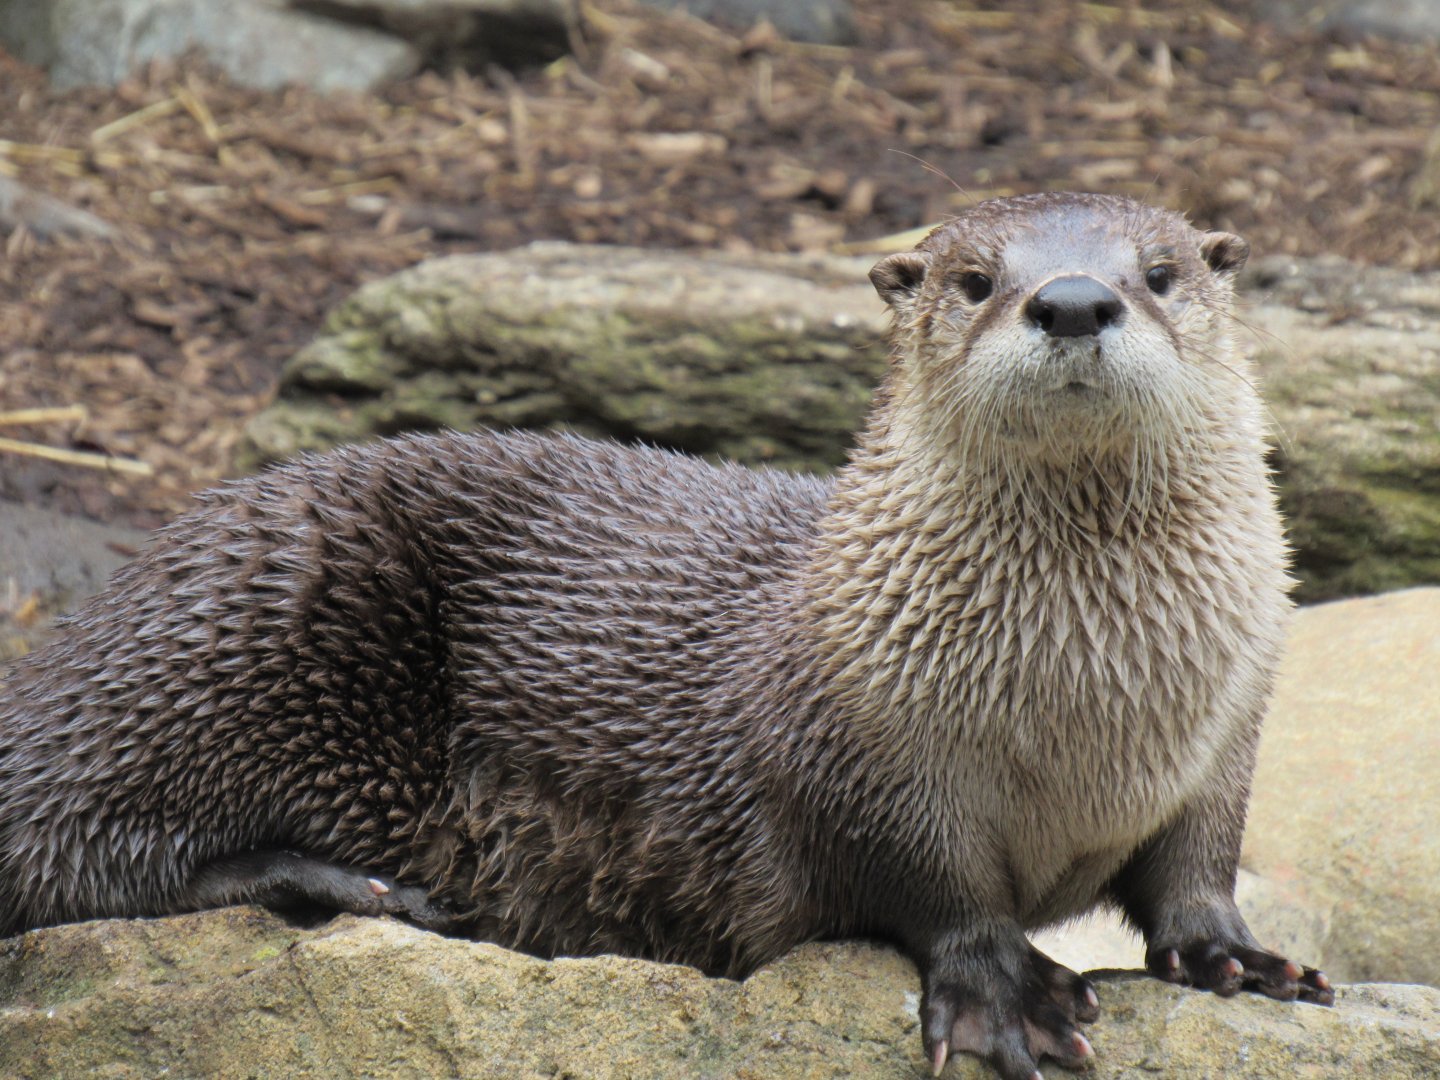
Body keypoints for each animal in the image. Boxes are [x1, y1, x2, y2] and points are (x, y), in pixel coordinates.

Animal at [0, 193, 1331, 1079]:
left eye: (1161, 272)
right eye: (974, 280)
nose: (1072, 299)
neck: (1087, 710)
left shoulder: (1233, 721)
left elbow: (1197, 866)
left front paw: (1239, 960)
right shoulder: (857, 745)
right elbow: (926, 883)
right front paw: (1007, 990)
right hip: (240, 619)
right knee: (58, 845)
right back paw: (342, 882)